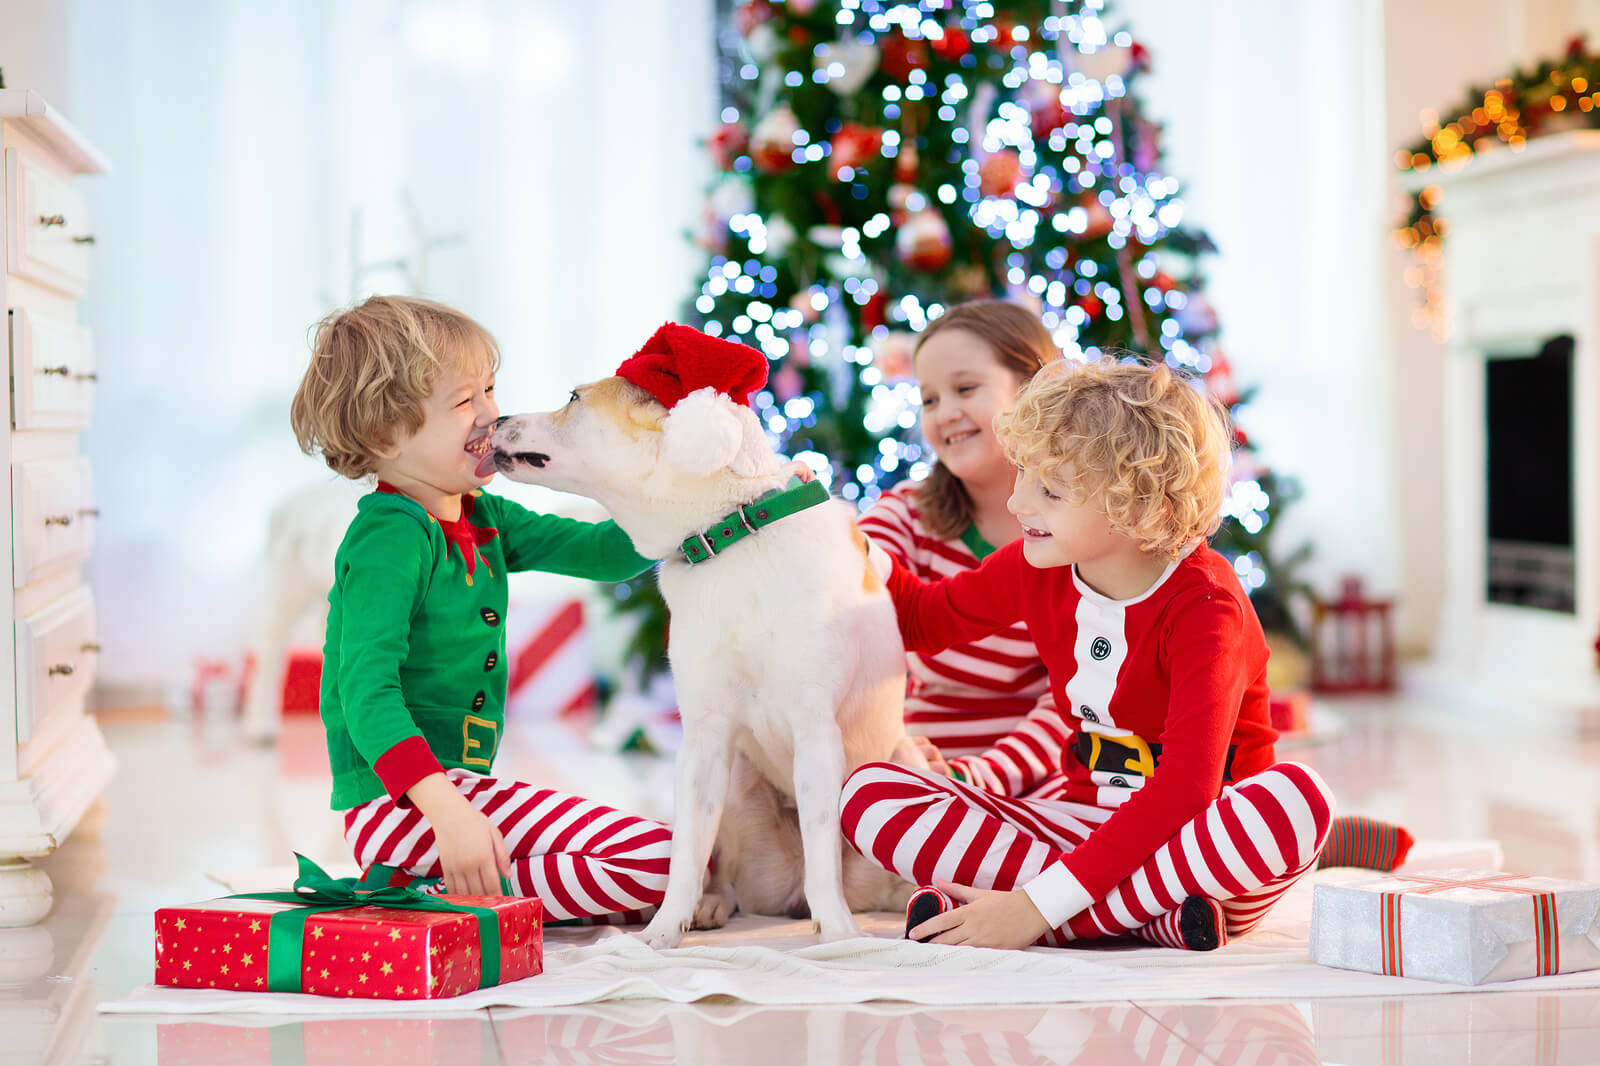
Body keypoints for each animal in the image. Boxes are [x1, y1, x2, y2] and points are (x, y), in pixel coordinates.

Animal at [480, 326, 921, 947]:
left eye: (572, 398)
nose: (497, 418)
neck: (730, 532)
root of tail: (784, 897)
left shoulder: (814, 728)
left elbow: (821, 843)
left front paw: (837, 933)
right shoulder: (705, 736)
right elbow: (689, 851)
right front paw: (664, 933)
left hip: (910, 757)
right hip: (737, 783)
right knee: (728, 876)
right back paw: (713, 907)